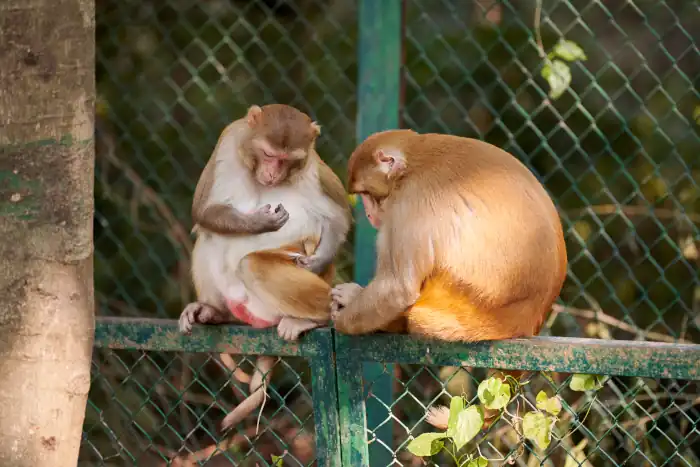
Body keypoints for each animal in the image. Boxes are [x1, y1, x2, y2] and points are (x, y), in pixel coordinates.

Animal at [179, 104, 351, 431]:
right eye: (269, 155)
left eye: (287, 160)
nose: (273, 173)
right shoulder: (228, 142)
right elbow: (204, 211)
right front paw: (258, 222)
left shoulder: (312, 167)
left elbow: (338, 217)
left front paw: (318, 260)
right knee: (208, 235)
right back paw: (212, 311)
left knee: (254, 263)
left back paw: (319, 318)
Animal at [329, 129, 567, 429]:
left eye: (368, 195)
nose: (369, 213)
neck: (411, 164)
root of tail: (529, 319)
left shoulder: (409, 202)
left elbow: (399, 288)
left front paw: (340, 318)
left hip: (464, 303)